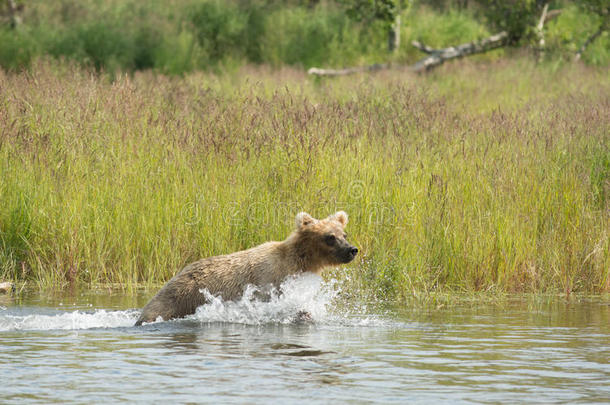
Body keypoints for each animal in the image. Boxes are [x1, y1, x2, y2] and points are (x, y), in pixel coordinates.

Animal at [134, 211, 356, 326]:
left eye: (344, 234)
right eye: (330, 237)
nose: (352, 250)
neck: (301, 261)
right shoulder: (270, 279)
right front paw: (303, 314)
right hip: (178, 299)